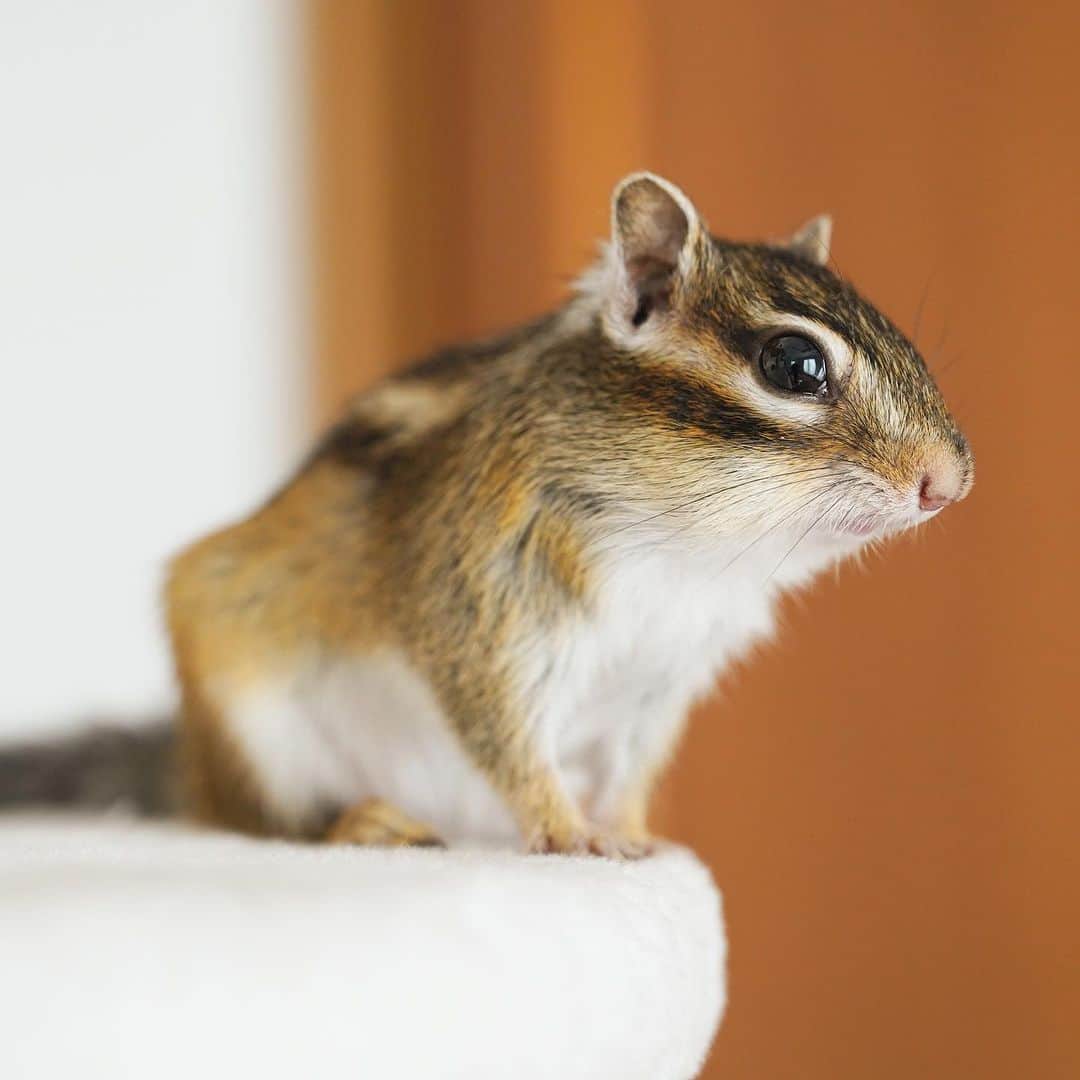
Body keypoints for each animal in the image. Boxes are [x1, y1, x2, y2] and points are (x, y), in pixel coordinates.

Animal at [1, 173, 972, 858]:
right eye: (792, 364)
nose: (950, 484)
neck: (689, 557)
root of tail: (192, 770)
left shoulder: (661, 680)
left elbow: (630, 768)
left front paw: (634, 833)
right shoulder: (481, 601)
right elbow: (505, 732)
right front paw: (569, 830)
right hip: (250, 717)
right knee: (264, 822)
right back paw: (361, 823)